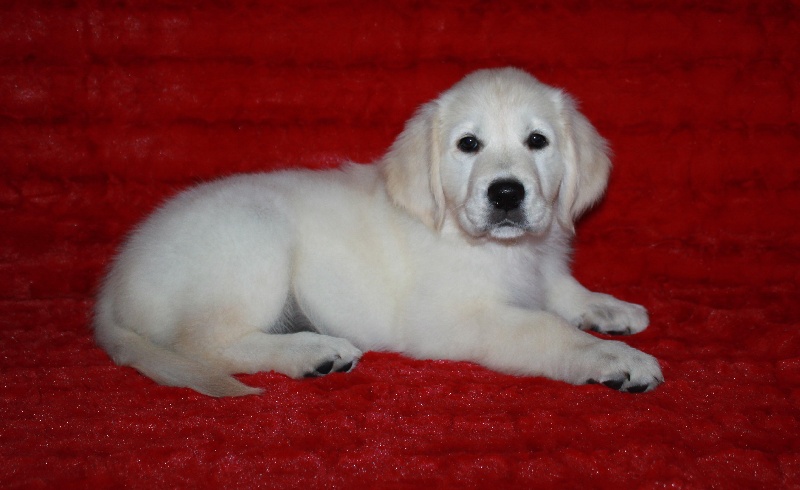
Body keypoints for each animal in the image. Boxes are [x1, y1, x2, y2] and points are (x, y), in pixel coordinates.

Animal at [94, 67, 663, 397]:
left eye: (538, 141)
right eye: (469, 144)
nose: (506, 194)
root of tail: (112, 286)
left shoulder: (542, 264)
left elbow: (564, 291)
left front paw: (608, 308)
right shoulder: (457, 318)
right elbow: (546, 328)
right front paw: (613, 358)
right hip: (254, 239)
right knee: (203, 343)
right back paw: (311, 352)